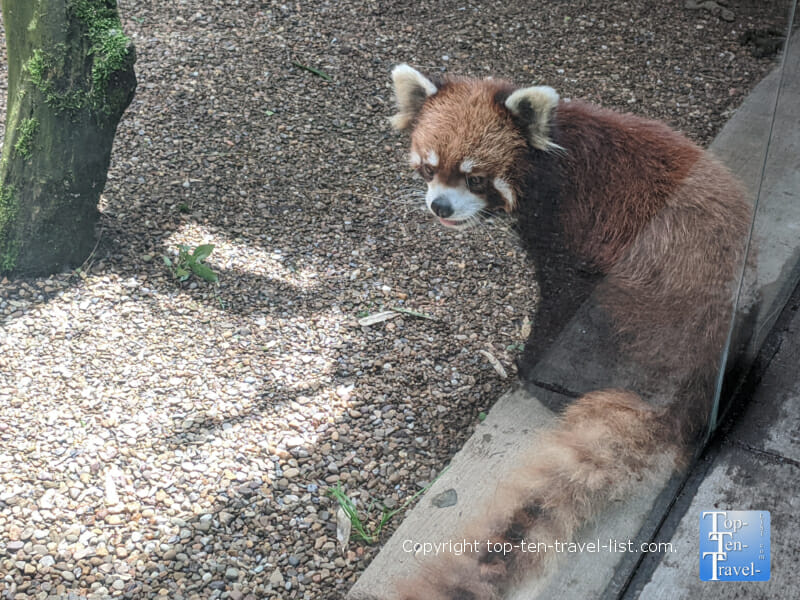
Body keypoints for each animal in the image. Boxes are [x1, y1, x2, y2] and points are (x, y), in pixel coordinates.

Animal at [384, 65, 752, 600]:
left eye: (475, 177)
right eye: (428, 169)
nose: (440, 208)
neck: (549, 154)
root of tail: (696, 378)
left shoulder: (572, 223)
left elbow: (561, 294)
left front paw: (529, 361)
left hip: (642, 304)